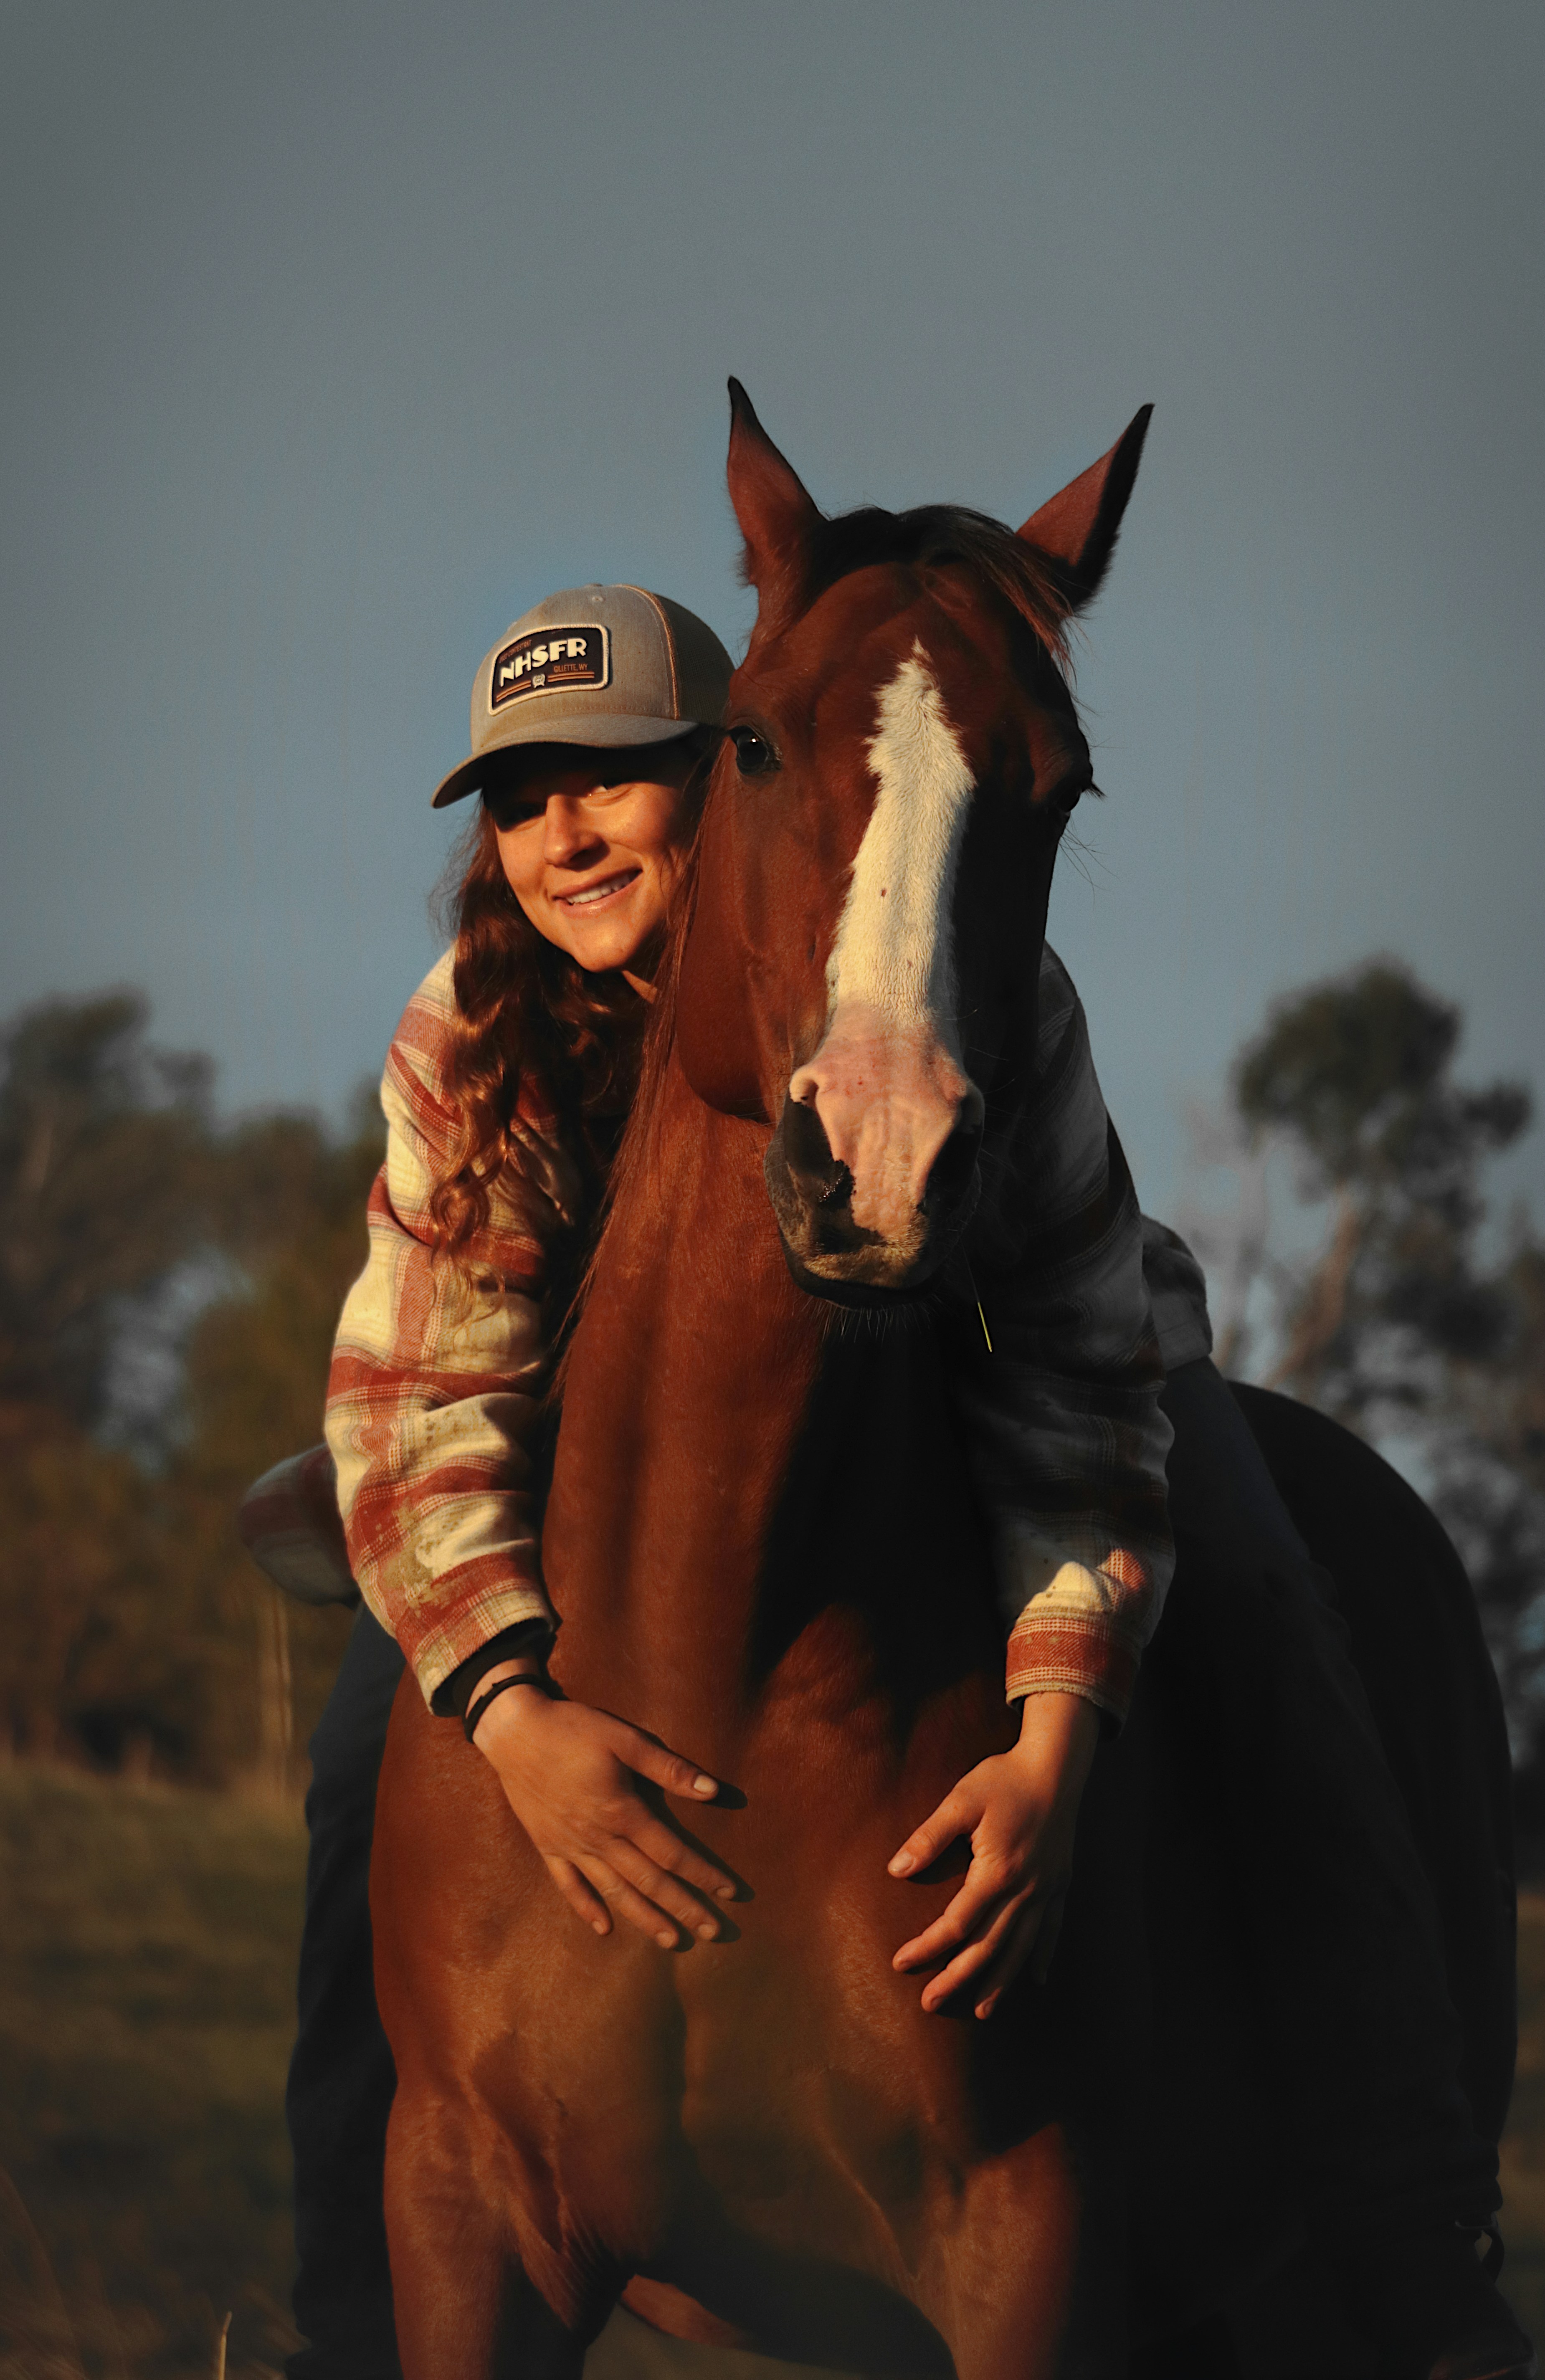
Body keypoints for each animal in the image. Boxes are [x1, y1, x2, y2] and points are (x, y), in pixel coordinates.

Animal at [367, 387, 1515, 2378]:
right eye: (753, 738)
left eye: (1059, 784)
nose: (885, 1159)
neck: (718, 1653)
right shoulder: (468, 2218)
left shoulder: (1029, 2248)